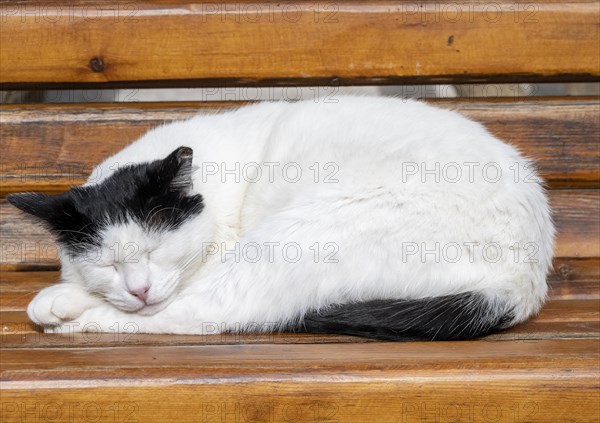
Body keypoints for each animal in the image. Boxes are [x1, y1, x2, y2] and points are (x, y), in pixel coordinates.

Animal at [8, 96, 552, 342]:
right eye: (108, 264)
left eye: (155, 248)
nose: (138, 289)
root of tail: (524, 278)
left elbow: (177, 299)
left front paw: (69, 302)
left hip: (297, 233)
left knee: (205, 314)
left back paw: (72, 319)